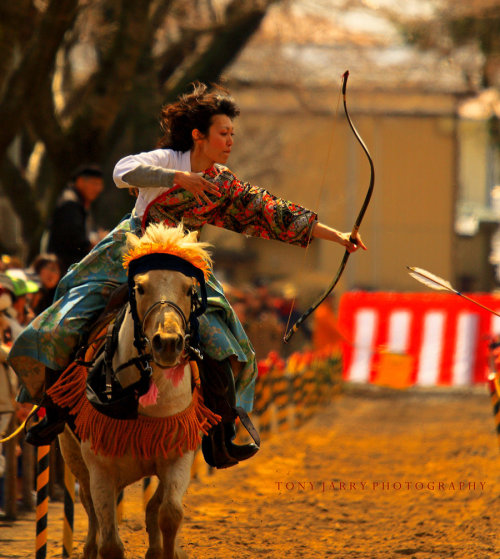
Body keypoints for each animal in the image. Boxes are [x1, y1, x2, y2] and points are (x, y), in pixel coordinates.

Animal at [52, 224, 219, 559]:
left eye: (189, 289)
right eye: (141, 288)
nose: (167, 343)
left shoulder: (179, 452)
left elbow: (169, 513)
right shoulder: (100, 465)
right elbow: (110, 542)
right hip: (72, 453)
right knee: (90, 509)